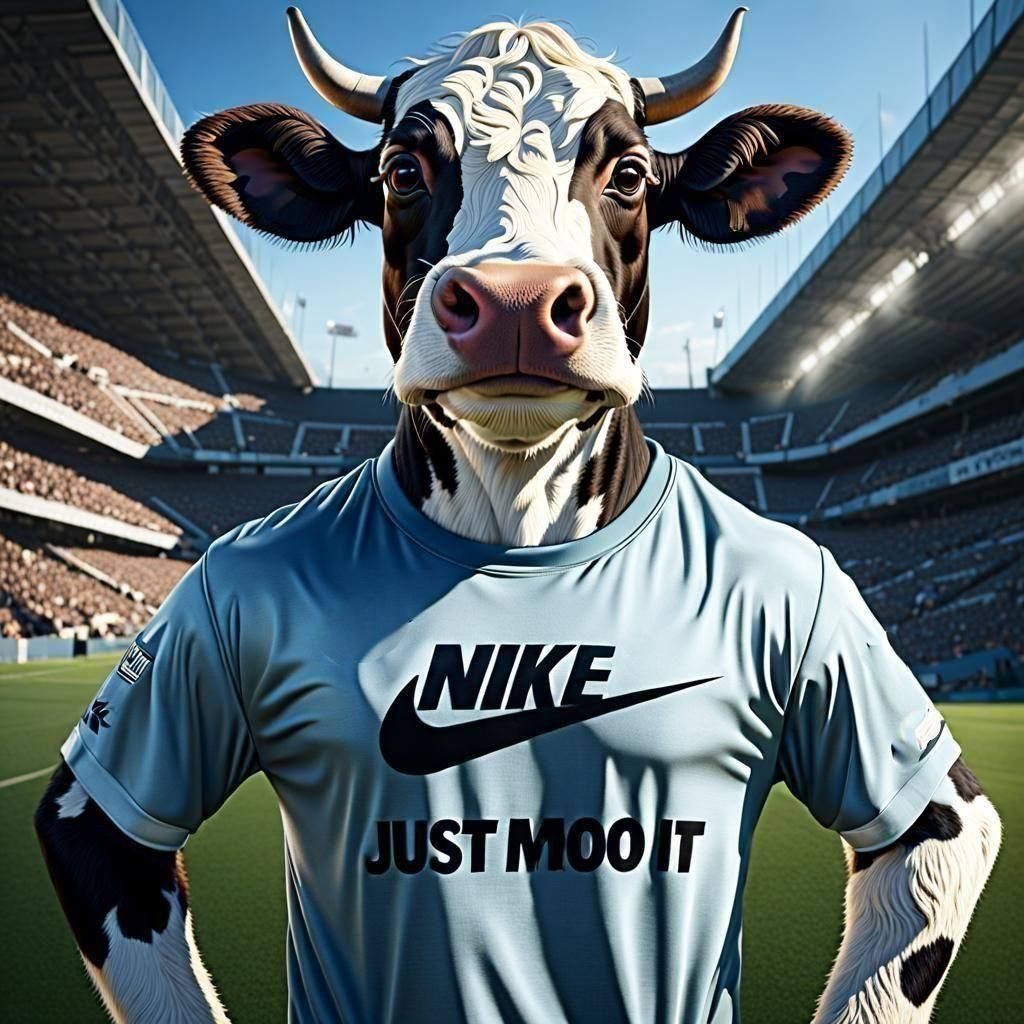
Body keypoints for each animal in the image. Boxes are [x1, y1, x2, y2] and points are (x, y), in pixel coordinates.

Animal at [36, 7, 1000, 1023]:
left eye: (627, 173)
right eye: (402, 170)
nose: (516, 301)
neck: (517, 519)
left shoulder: (840, 637)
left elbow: (927, 843)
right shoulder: (210, 605)